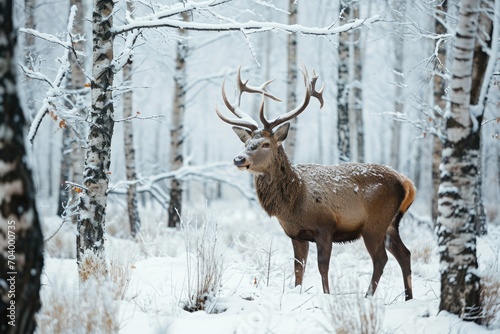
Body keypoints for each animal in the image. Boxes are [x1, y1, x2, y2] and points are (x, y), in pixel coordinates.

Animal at [217, 65, 416, 300]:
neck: (294, 200)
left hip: (374, 223)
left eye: (265, 143)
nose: (239, 159)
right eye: (246, 142)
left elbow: (322, 265)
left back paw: (368, 296)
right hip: (392, 223)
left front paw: (327, 295)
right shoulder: (296, 234)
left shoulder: (325, 226)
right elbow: (298, 267)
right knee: (405, 253)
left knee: (381, 259)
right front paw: (298, 291)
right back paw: (408, 297)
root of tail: (406, 182)